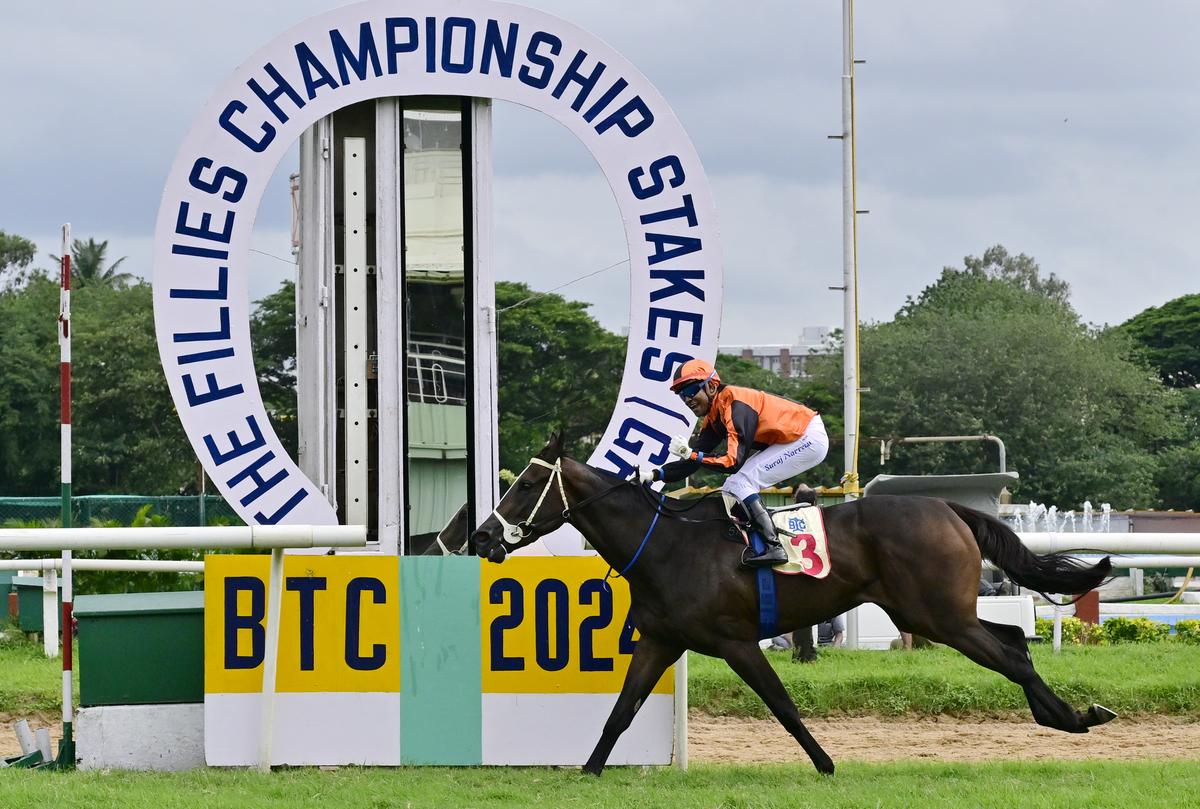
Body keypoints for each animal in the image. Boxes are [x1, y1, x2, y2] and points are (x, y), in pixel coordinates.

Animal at [470, 434, 1113, 772]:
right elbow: (621, 710)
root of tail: (948, 506)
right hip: (929, 614)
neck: (667, 543)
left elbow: (781, 704)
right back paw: (1062, 715)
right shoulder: (661, 639)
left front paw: (824, 764)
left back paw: (1076, 717)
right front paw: (589, 769)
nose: (480, 536)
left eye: (526, 484)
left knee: (1012, 654)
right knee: (1013, 641)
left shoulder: (735, 641)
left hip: (938, 614)